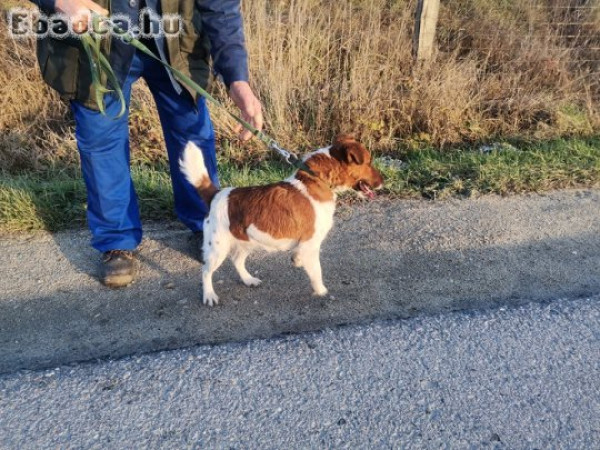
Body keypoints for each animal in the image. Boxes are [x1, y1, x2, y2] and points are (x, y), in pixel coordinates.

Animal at [179, 134, 384, 306]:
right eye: (369, 162)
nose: (383, 181)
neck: (316, 181)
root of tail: (216, 194)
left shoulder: (307, 246)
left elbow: (303, 259)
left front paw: (297, 261)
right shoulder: (310, 245)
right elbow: (317, 273)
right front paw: (322, 292)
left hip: (246, 241)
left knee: (237, 261)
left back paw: (248, 280)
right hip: (217, 250)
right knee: (206, 271)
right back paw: (209, 295)